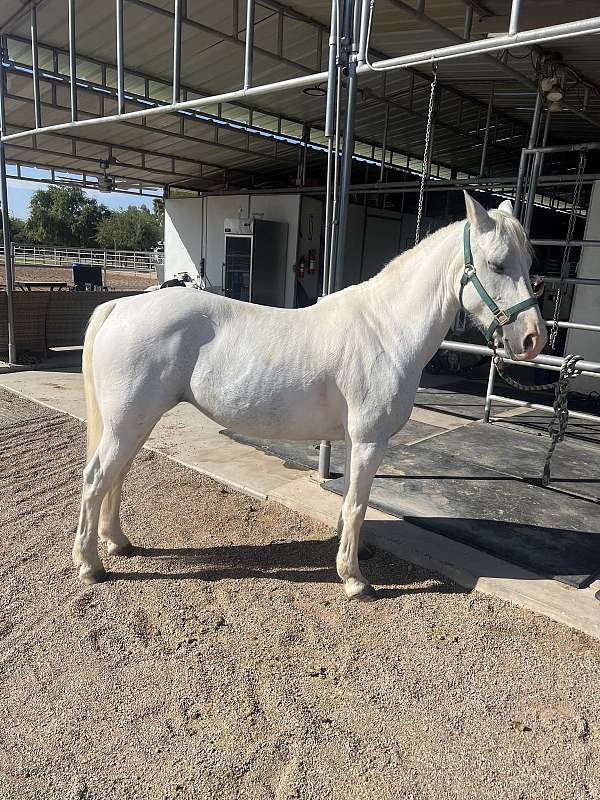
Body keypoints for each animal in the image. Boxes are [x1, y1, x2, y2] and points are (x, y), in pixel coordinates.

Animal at [72, 194, 548, 600]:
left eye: (531, 264)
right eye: (496, 264)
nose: (532, 339)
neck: (385, 329)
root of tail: (122, 306)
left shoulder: (356, 441)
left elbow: (351, 501)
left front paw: (352, 555)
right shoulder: (370, 441)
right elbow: (356, 504)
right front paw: (354, 579)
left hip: (135, 423)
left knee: (116, 477)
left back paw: (118, 543)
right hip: (127, 423)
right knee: (97, 479)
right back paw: (91, 565)